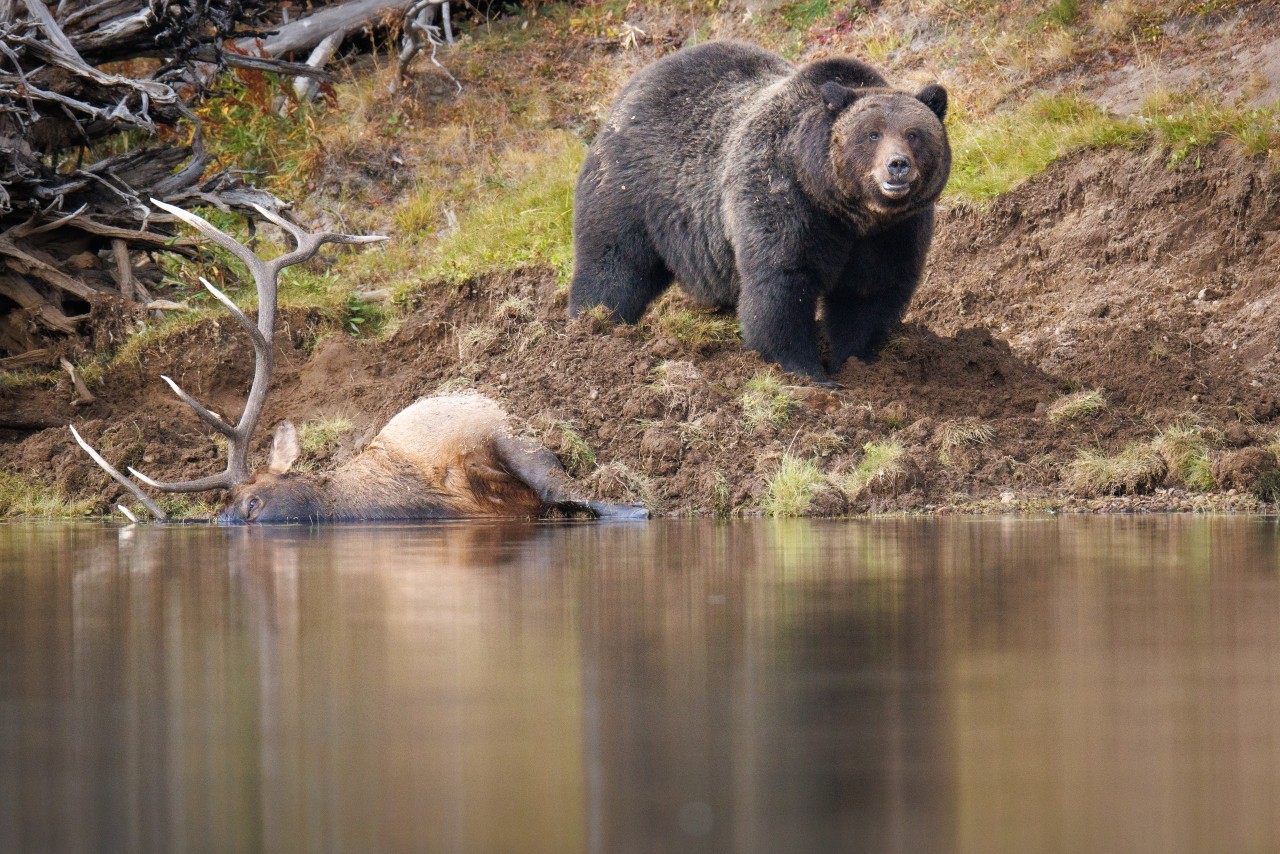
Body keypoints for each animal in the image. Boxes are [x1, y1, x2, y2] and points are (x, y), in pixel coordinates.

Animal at [570, 41, 952, 381]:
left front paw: (854, 362)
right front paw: (805, 370)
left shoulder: (895, 231)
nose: (897, 165)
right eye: (872, 134)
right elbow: (781, 286)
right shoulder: (782, 198)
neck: (846, 210)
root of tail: (634, 84)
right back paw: (593, 324)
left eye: (914, 133)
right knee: (614, 262)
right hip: (634, 191)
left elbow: (870, 292)